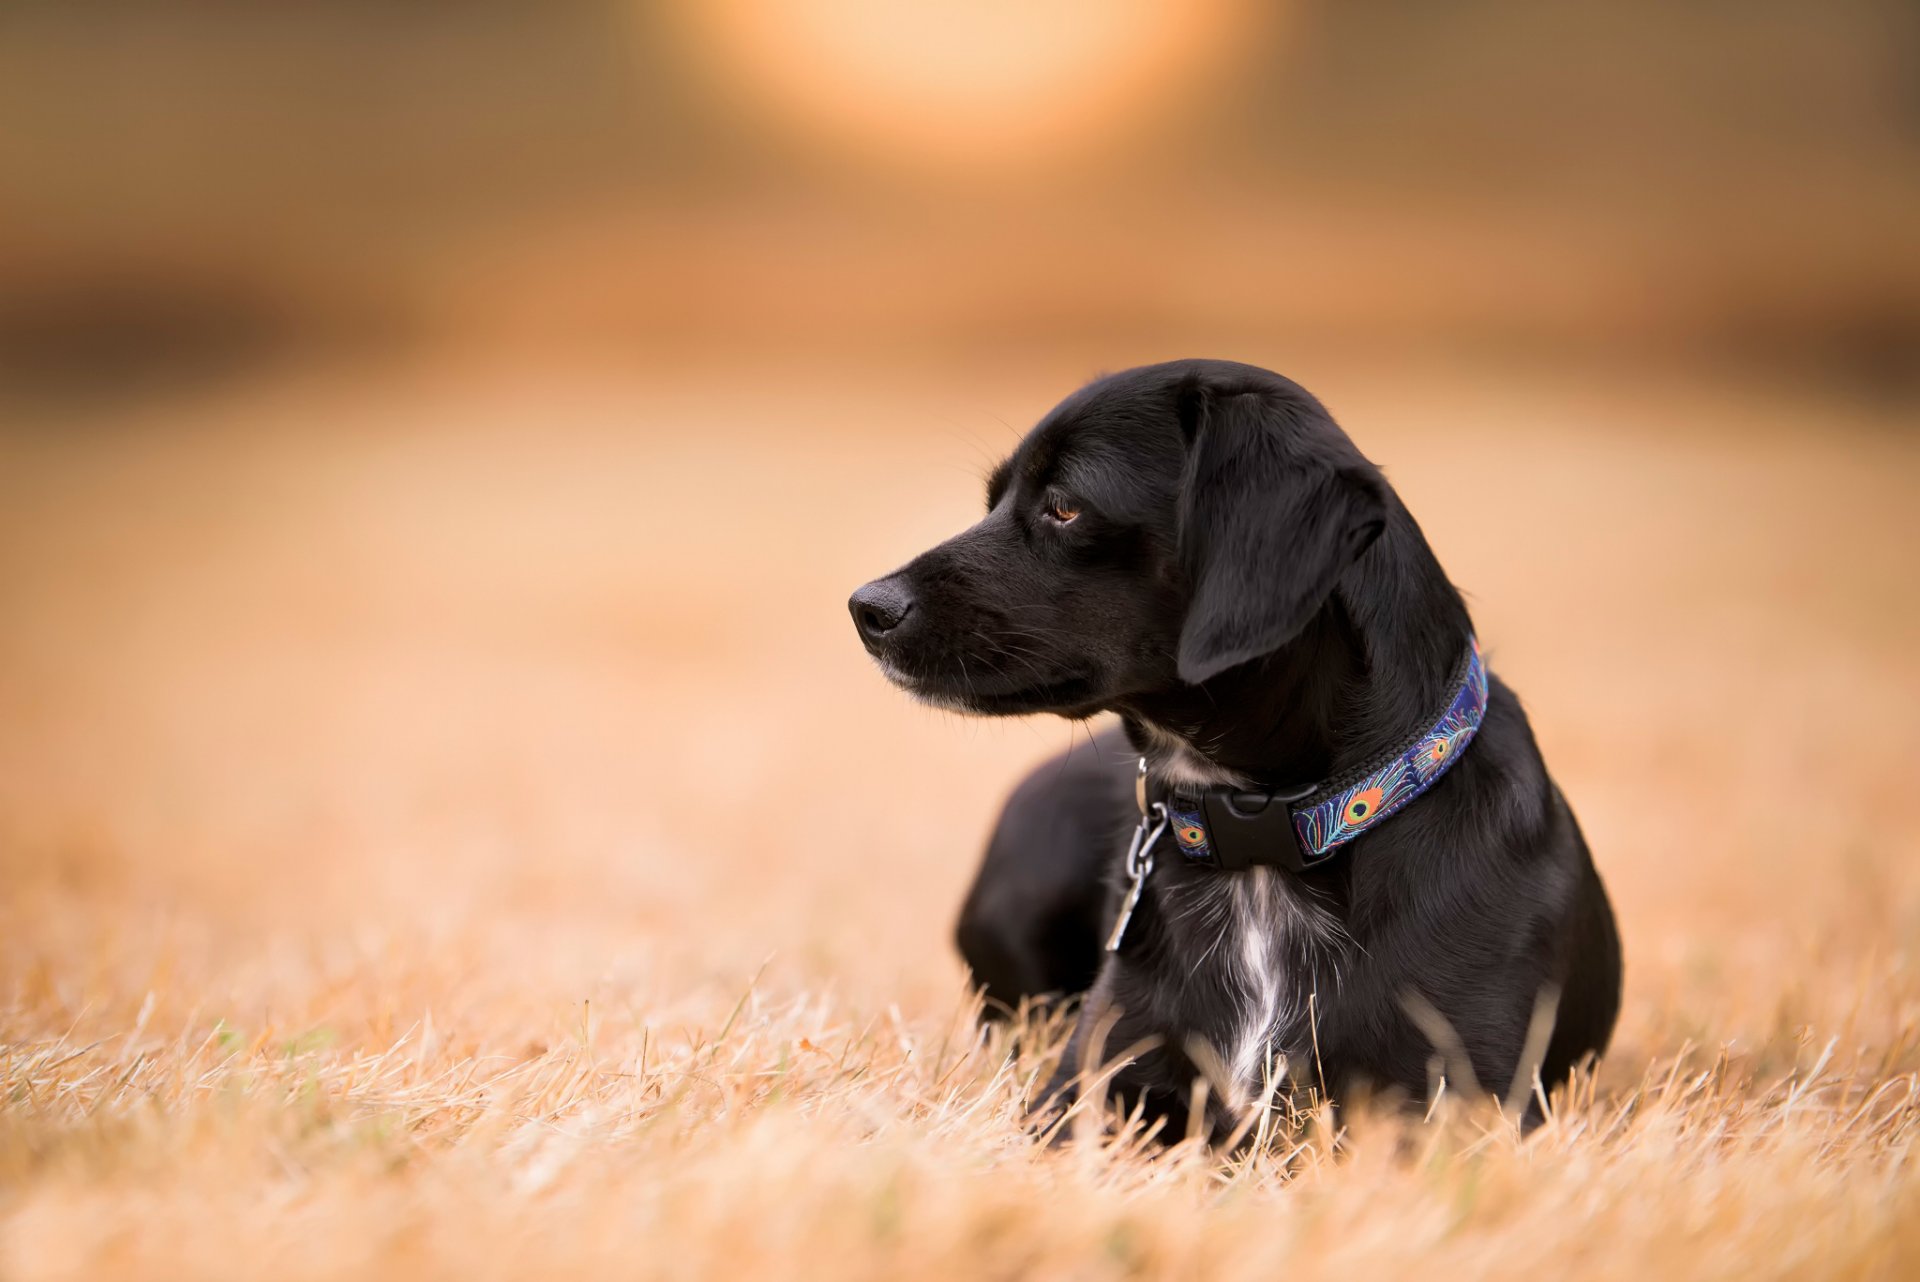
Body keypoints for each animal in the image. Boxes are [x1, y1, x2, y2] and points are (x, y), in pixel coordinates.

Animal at [848, 360, 1612, 1128]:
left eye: (1064, 505)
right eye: (994, 501)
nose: (866, 607)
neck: (1265, 834)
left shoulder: (1459, 1106)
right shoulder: (1088, 1087)